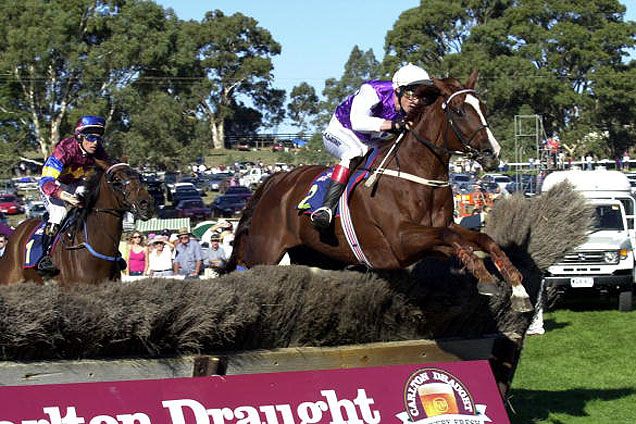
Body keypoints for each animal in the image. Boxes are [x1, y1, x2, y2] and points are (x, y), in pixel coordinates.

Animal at [226, 71, 536, 314]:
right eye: (459, 110)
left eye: (481, 106)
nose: (493, 153)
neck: (416, 177)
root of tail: (275, 179)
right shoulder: (400, 241)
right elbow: (454, 240)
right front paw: (485, 277)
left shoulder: (441, 229)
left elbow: (482, 240)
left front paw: (518, 288)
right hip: (263, 252)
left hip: (313, 253)